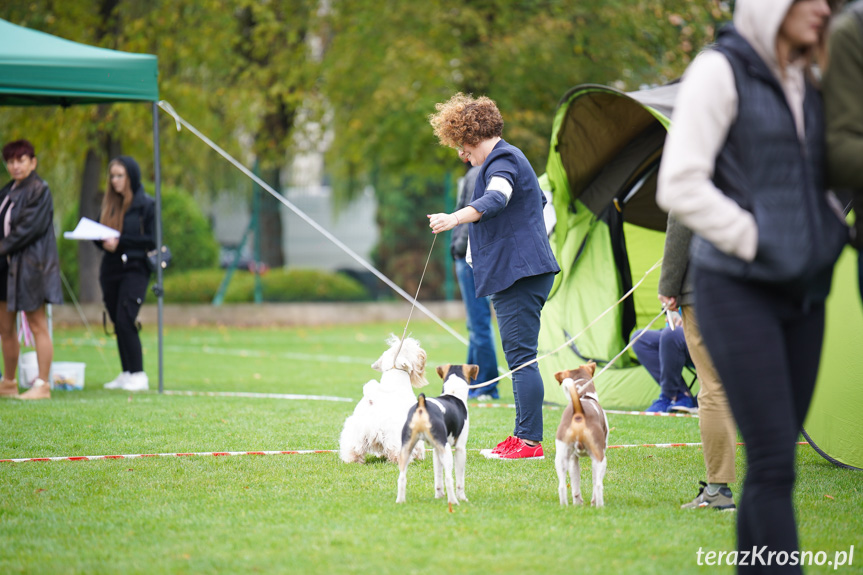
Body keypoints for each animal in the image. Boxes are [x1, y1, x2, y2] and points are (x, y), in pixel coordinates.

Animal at [340, 336, 430, 466]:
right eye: (407, 348)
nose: (422, 353)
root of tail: (371, 400)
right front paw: (419, 456)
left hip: (356, 433)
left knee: (353, 449)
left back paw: (353, 460)